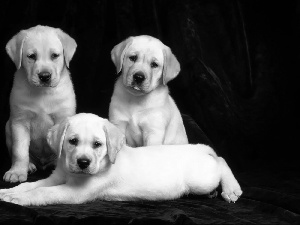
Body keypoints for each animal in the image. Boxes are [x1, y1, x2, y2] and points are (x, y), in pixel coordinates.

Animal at [0, 113, 241, 207]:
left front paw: (18, 199)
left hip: (200, 179)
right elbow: (32, 185)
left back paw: (231, 189)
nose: (83, 163)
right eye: (72, 141)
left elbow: (43, 192)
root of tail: (199, 148)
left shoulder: (75, 192)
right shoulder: (56, 178)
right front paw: (8, 192)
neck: (70, 175)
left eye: (97, 145)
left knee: (221, 161)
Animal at [3, 25, 77, 183]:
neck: (42, 93)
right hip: (8, 126)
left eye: (55, 55)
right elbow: (20, 151)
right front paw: (17, 171)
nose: (44, 76)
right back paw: (30, 165)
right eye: (31, 56)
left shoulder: (62, 118)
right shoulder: (20, 121)